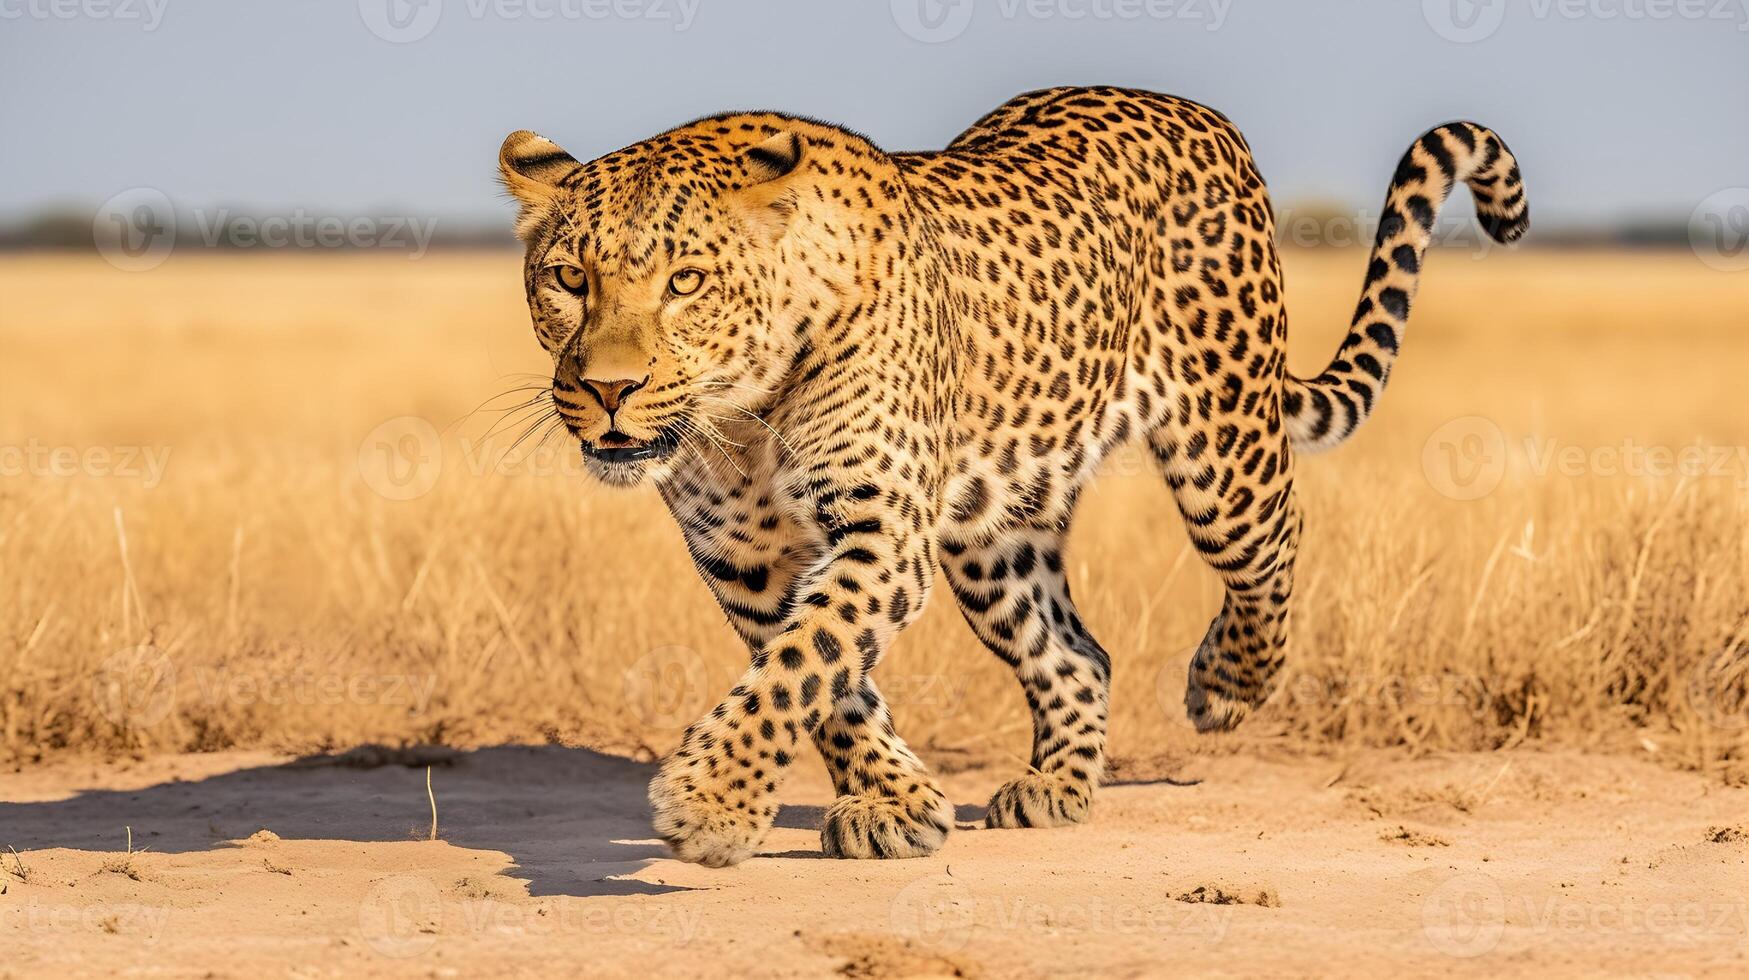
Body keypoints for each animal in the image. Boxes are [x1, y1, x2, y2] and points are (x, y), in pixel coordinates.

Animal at [500, 84, 1525, 864]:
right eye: (567, 279)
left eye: (684, 282)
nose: (608, 390)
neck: (745, 413)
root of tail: (1197, 112)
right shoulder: (744, 559)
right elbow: (823, 680)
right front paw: (897, 804)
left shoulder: (882, 531)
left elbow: (805, 660)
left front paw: (710, 802)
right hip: (993, 533)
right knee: (1076, 651)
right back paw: (1056, 786)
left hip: (1222, 448)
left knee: (1271, 549)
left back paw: (1228, 682)